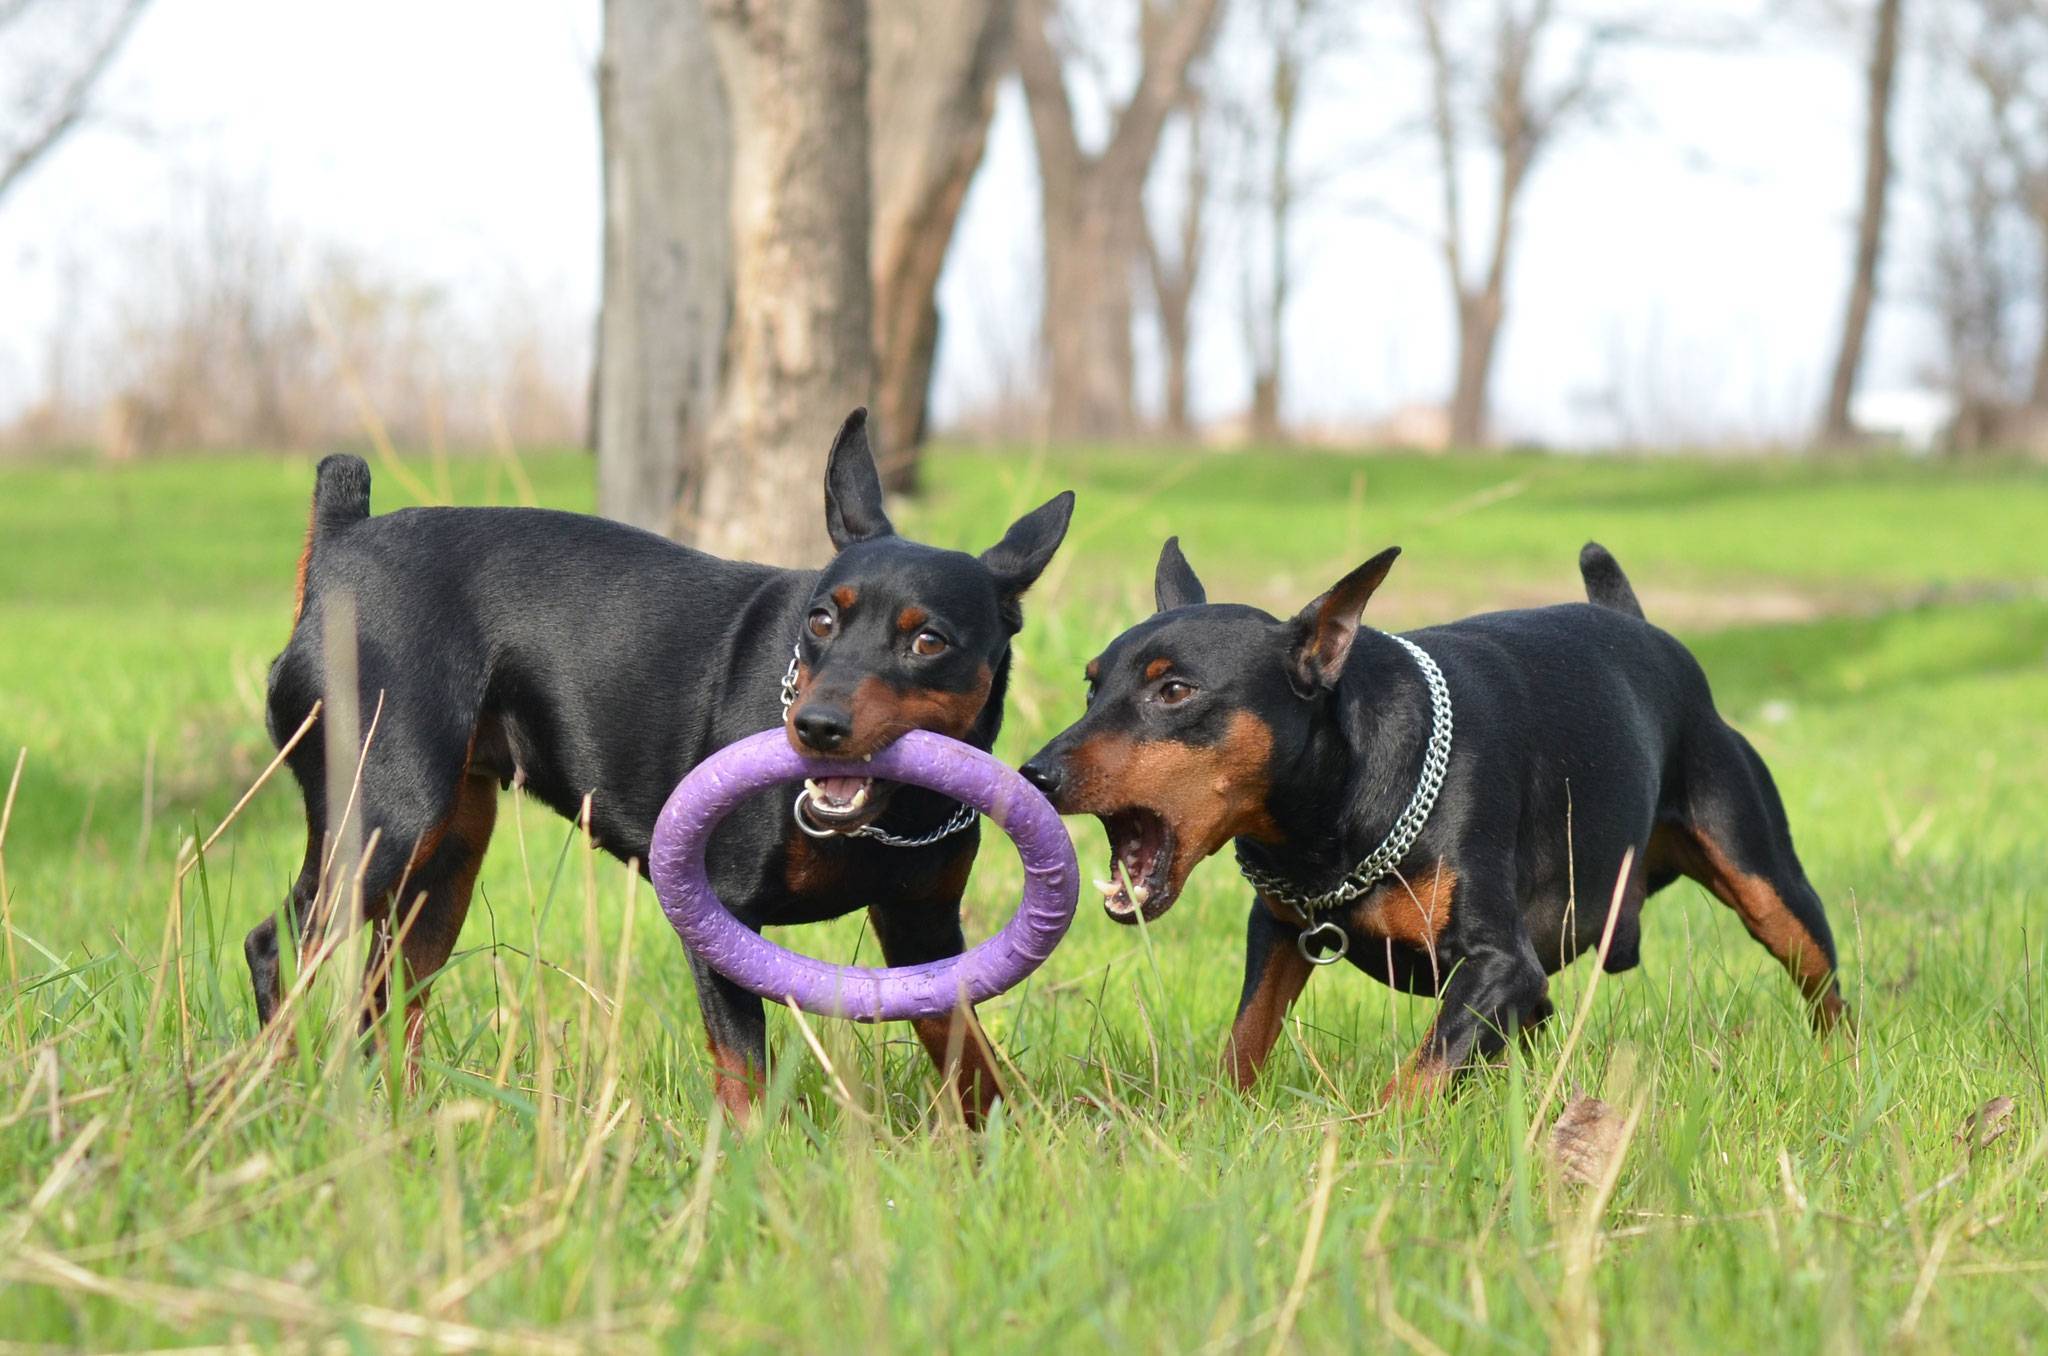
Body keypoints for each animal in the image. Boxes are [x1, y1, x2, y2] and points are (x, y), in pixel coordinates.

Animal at [251, 411, 1073, 1122]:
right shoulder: (719, 913)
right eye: (820, 620)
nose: (815, 727)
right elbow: (744, 1069)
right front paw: (750, 1169)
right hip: (384, 820)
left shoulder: (924, 931)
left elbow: (970, 1057)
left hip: (447, 854)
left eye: (928, 641)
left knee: (388, 995)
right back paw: (266, 1094)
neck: (890, 813)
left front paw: (1006, 1148)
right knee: (278, 945)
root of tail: (341, 547)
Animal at [1019, 540, 1843, 1106]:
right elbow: (1247, 1035)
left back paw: (1845, 1067)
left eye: (1176, 691)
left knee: (1822, 983)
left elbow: (1415, 1077)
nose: (1036, 773)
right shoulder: (1279, 929)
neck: (1331, 819)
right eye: (1090, 686)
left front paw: (1362, 1140)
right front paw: (1215, 1117)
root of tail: (1640, 627)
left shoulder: (1502, 964)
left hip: (1765, 876)